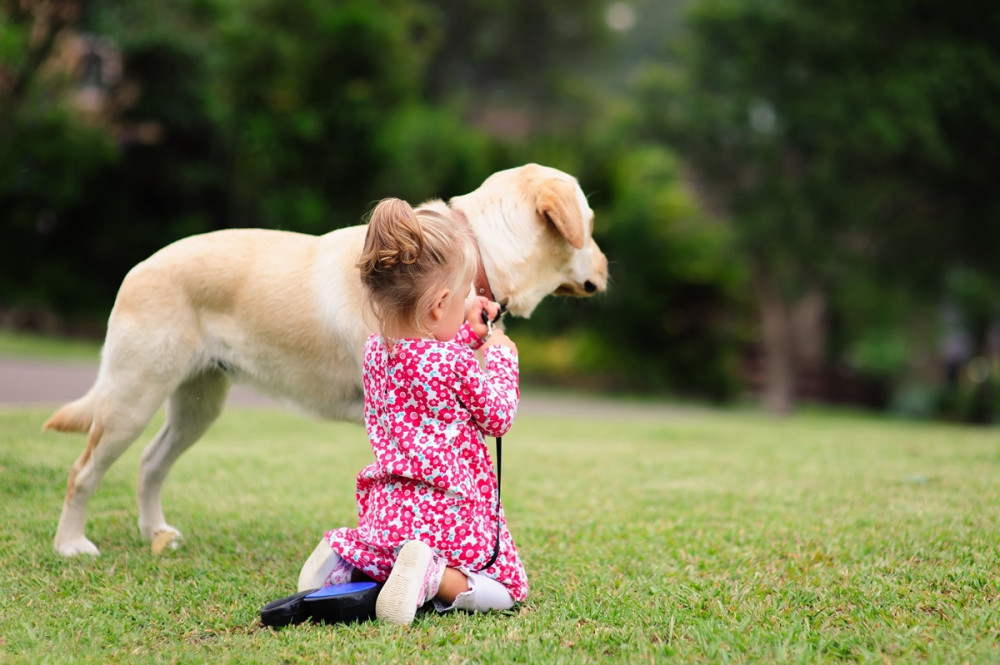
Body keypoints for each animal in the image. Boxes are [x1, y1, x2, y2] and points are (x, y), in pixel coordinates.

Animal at [45, 162, 608, 556]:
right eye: (590, 224)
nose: (606, 266)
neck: (478, 254)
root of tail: (139, 267)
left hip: (197, 406)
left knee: (150, 462)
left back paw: (154, 532)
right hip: (132, 398)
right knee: (82, 471)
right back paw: (71, 545)